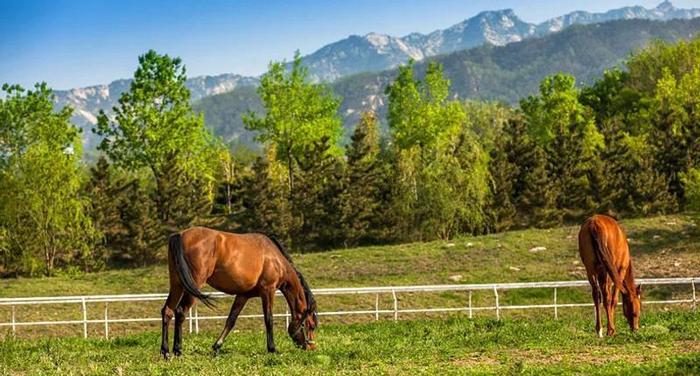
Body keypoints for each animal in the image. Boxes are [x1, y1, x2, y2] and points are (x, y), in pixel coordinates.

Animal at [160, 226, 318, 358]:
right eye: (310, 325)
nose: (311, 347)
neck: (276, 259)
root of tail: (180, 235)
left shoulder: (243, 296)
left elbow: (231, 320)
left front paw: (217, 346)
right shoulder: (268, 291)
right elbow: (269, 319)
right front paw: (272, 349)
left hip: (177, 284)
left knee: (168, 311)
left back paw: (166, 352)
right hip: (192, 286)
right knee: (181, 311)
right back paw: (178, 350)